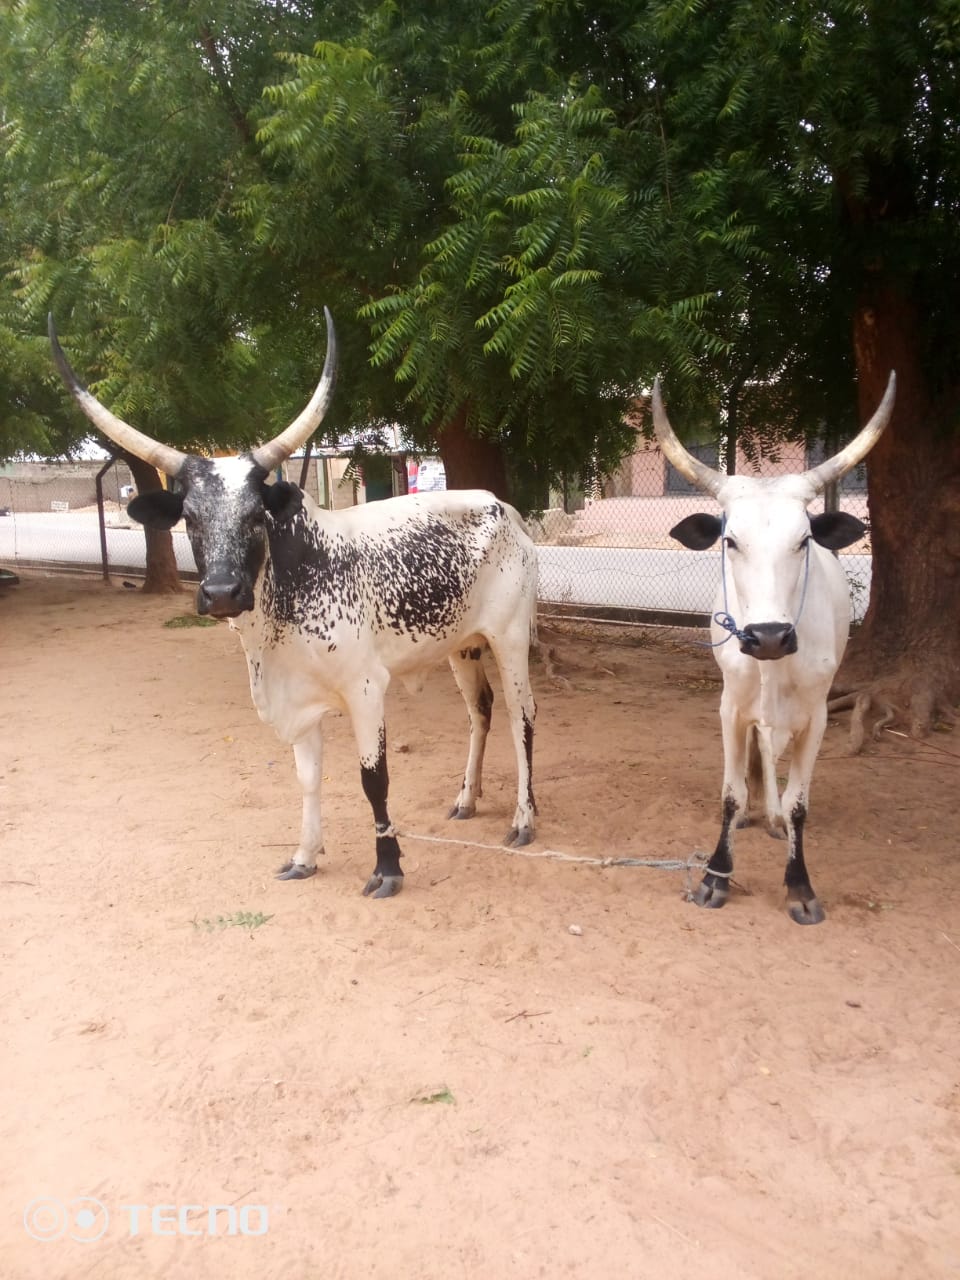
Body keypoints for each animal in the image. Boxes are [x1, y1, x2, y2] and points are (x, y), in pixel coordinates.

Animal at [49, 311, 538, 898]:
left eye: (255, 516)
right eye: (190, 518)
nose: (221, 593)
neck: (274, 626)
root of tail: (502, 507)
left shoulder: (366, 689)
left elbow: (374, 779)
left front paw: (388, 867)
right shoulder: (297, 701)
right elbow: (307, 778)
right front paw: (305, 855)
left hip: (510, 637)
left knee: (521, 717)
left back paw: (524, 818)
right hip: (461, 645)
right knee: (480, 711)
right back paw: (467, 797)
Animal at [653, 373, 896, 924]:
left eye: (803, 540)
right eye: (730, 541)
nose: (766, 636)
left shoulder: (819, 715)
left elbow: (799, 802)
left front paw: (799, 886)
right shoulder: (729, 705)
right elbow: (730, 793)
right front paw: (715, 877)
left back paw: (772, 815)